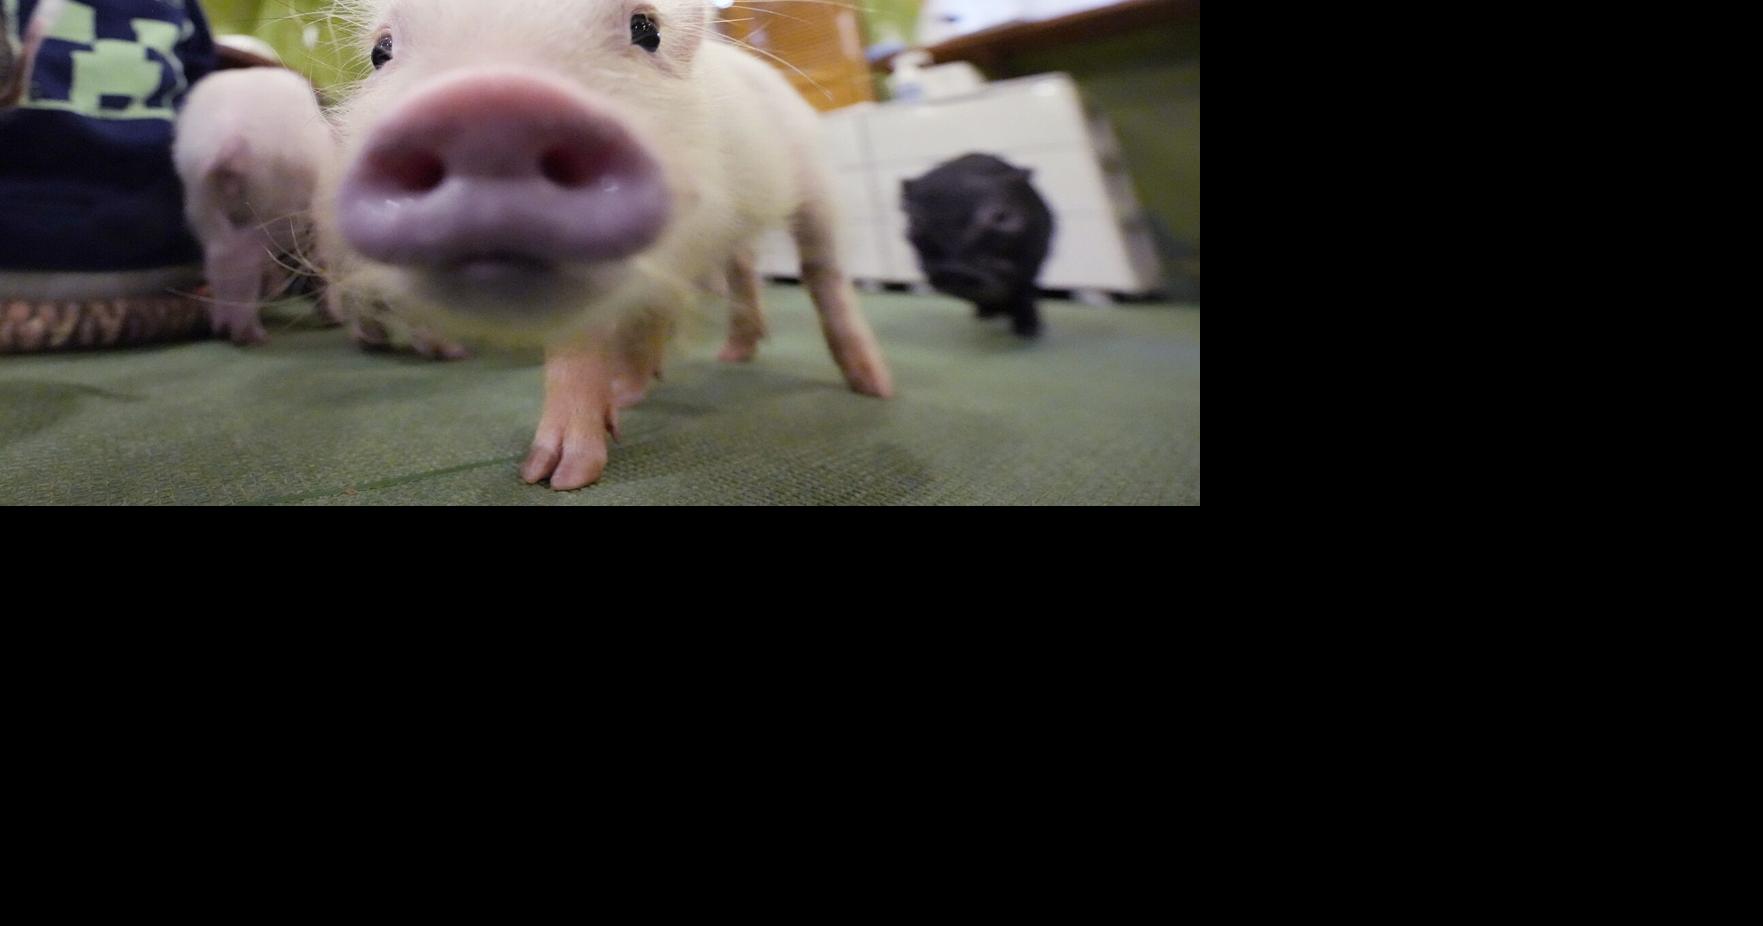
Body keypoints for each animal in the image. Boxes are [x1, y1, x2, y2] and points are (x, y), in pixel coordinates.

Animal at [173, 68, 334, 345]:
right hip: (272, 214)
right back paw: (251, 334)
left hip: (202, 202)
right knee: (246, 263)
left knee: (222, 258)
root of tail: (231, 141)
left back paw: (223, 326)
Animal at [318, 0, 894, 490]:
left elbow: (628, 323)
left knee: (823, 270)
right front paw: (549, 471)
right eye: (381, 51)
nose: (488, 108)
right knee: (742, 267)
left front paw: (569, 469)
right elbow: (594, 334)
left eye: (646, 30)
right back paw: (732, 355)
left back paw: (875, 386)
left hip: (815, 180)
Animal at [903, 154, 1055, 338]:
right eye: (915, 221)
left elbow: (1024, 292)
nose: (954, 270)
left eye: (1001, 217)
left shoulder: (1033, 262)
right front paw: (984, 314)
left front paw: (1027, 333)